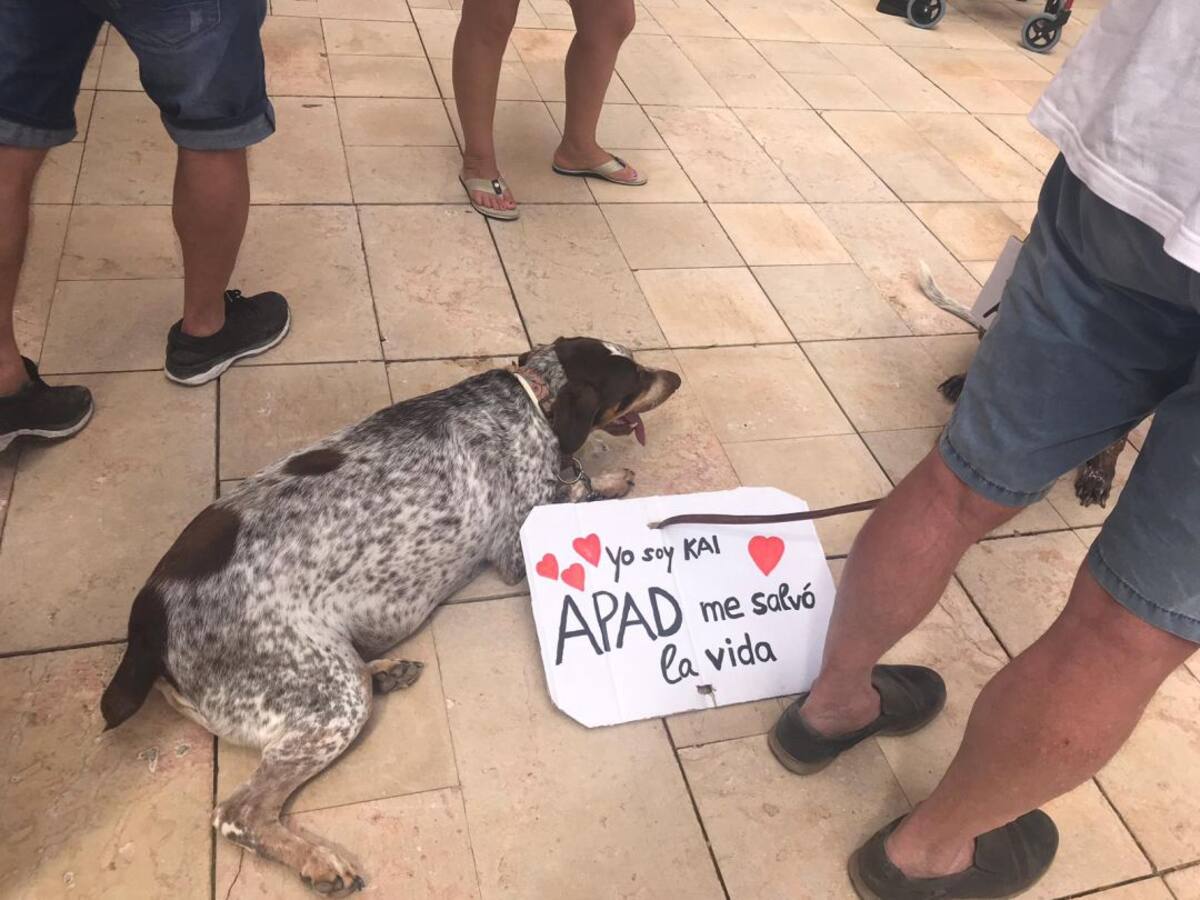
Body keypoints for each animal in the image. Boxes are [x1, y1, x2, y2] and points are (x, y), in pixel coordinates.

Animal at [99, 337, 681, 895]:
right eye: (634, 377)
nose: (676, 376)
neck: (533, 396)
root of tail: (148, 621)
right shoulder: (516, 546)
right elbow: (574, 492)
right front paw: (601, 482)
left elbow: (582, 485)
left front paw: (610, 478)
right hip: (329, 699)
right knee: (238, 814)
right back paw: (318, 861)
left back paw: (386, 672)